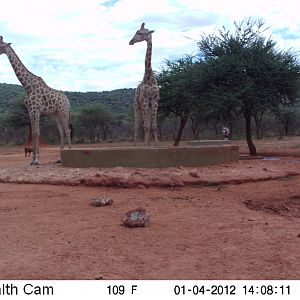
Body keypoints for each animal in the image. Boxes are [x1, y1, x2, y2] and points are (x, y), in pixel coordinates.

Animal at [0, 37, 71, 166]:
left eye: (0, 45)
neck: (28, 87)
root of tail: (68, 101)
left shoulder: (36, 110)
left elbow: (37, 133)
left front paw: (37, 159)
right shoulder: (30, 111)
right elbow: (33, 133)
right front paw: (32, 160)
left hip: (63, 112)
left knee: (67, 130)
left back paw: (69, 154)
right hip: (56, 115)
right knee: (61, 132)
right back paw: (60, 158)